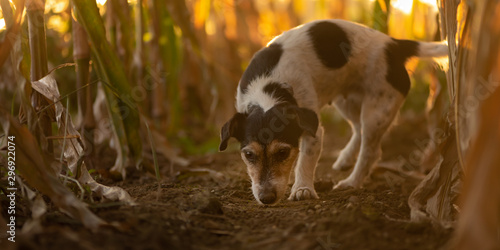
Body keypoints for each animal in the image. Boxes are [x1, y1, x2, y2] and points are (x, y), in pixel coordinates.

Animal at [217, 19, 448, 203]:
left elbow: (304, 162)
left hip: (377, 109)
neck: (269, 88)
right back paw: (345, 158)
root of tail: (394, 45)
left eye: (283, 152)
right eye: (248, 154)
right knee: (358, 130)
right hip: (347, 102)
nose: (266, 198)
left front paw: (302, 189)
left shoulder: (313, 130)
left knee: (370, 150)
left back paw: (352, 182)